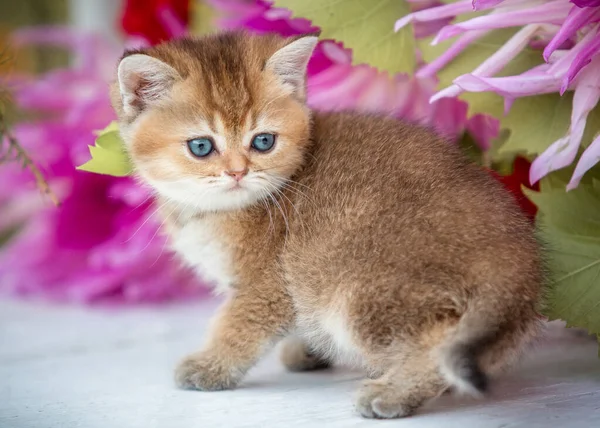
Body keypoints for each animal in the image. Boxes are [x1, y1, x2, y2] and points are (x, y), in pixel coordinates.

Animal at [110, 32, 548, 418]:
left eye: (263, 141)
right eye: (201, 146)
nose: (237, 172)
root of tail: (517, 258)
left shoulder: (268, 285)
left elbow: (236, 326)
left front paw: (211, 366)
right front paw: (309, 349)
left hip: (360, 294)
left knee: (437, 340)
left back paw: (393, 392)